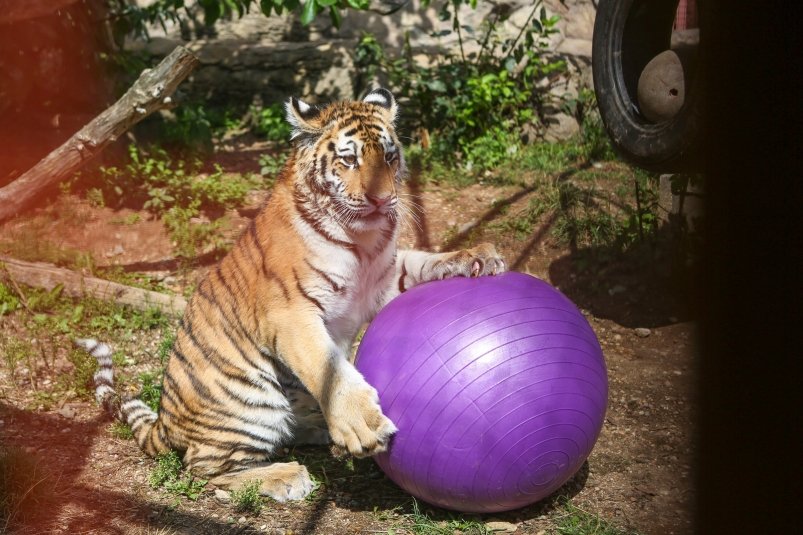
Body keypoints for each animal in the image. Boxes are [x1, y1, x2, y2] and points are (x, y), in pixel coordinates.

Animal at [78, 88, 506, 502]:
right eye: (349, 160)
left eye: (388, 156)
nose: (383, 200)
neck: (364, 241)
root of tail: (165, 423)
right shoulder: (291, 314)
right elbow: (327, 367)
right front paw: (363, 424)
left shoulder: (382, 281)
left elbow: (422, 263)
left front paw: (479, 256)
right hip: (250, 402)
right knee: (203, 467)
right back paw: (285, 475)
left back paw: (319, 429)